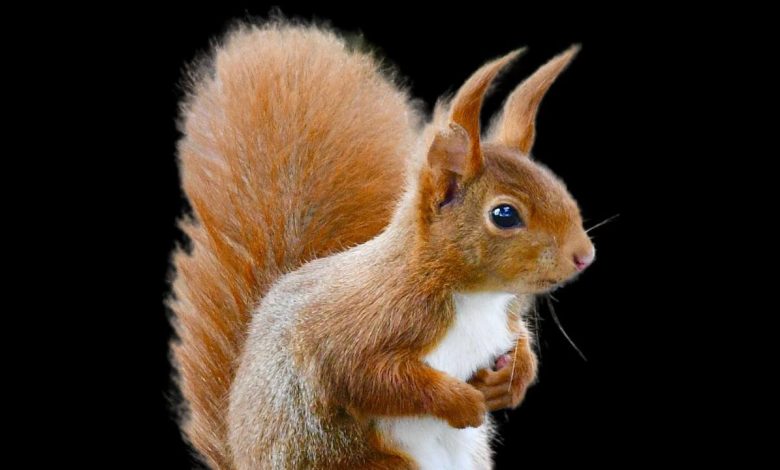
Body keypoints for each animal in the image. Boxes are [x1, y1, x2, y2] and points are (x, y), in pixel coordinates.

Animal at [169, 21, 595, 470]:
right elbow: (371, 378)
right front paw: (461, 402)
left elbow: (518, 344)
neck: (476, 298)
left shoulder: (504, 319)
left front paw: (510, 379)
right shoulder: (362, 325)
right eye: (505, 214)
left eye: (557, 186)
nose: (584, 255)